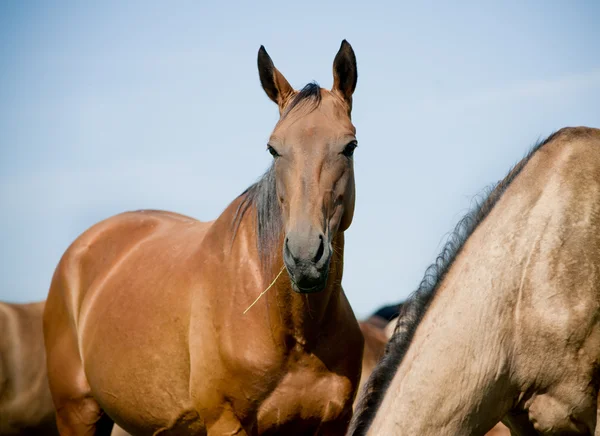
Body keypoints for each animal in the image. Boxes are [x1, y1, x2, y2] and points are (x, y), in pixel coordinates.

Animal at [44, 39, 364, 434]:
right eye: (273, 149)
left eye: (349, 146)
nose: (305, 257)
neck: (295, 333)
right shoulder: (225, 422)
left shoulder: (334, 423)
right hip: (76, 413)